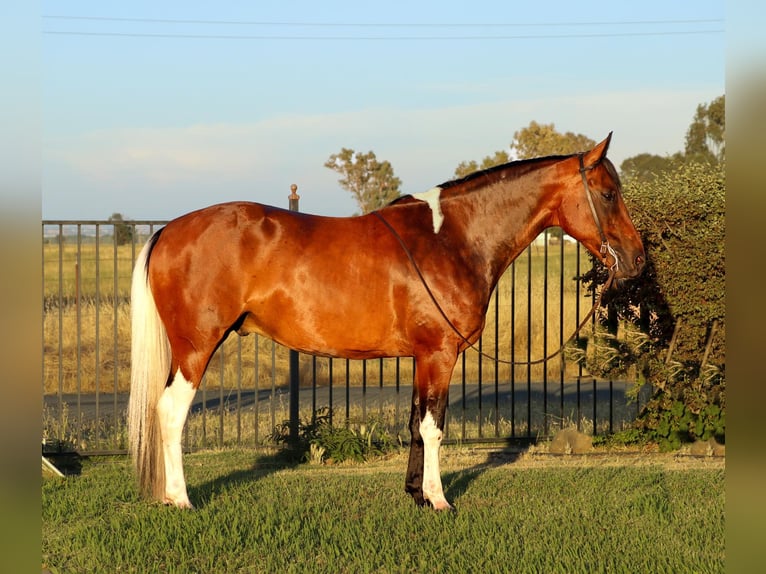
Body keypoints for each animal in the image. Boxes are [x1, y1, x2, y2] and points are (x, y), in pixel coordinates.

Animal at [128, 133, 644, 510]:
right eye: (608, 193)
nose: (637, 259)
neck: (451, 238)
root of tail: (169, 230)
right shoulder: (439, 353)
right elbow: (434, 427)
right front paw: (439, 501)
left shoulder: (422, 356)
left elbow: (417, 422)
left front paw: (416, 495)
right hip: (196, 347)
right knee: (170, 412)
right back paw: (181, 500)